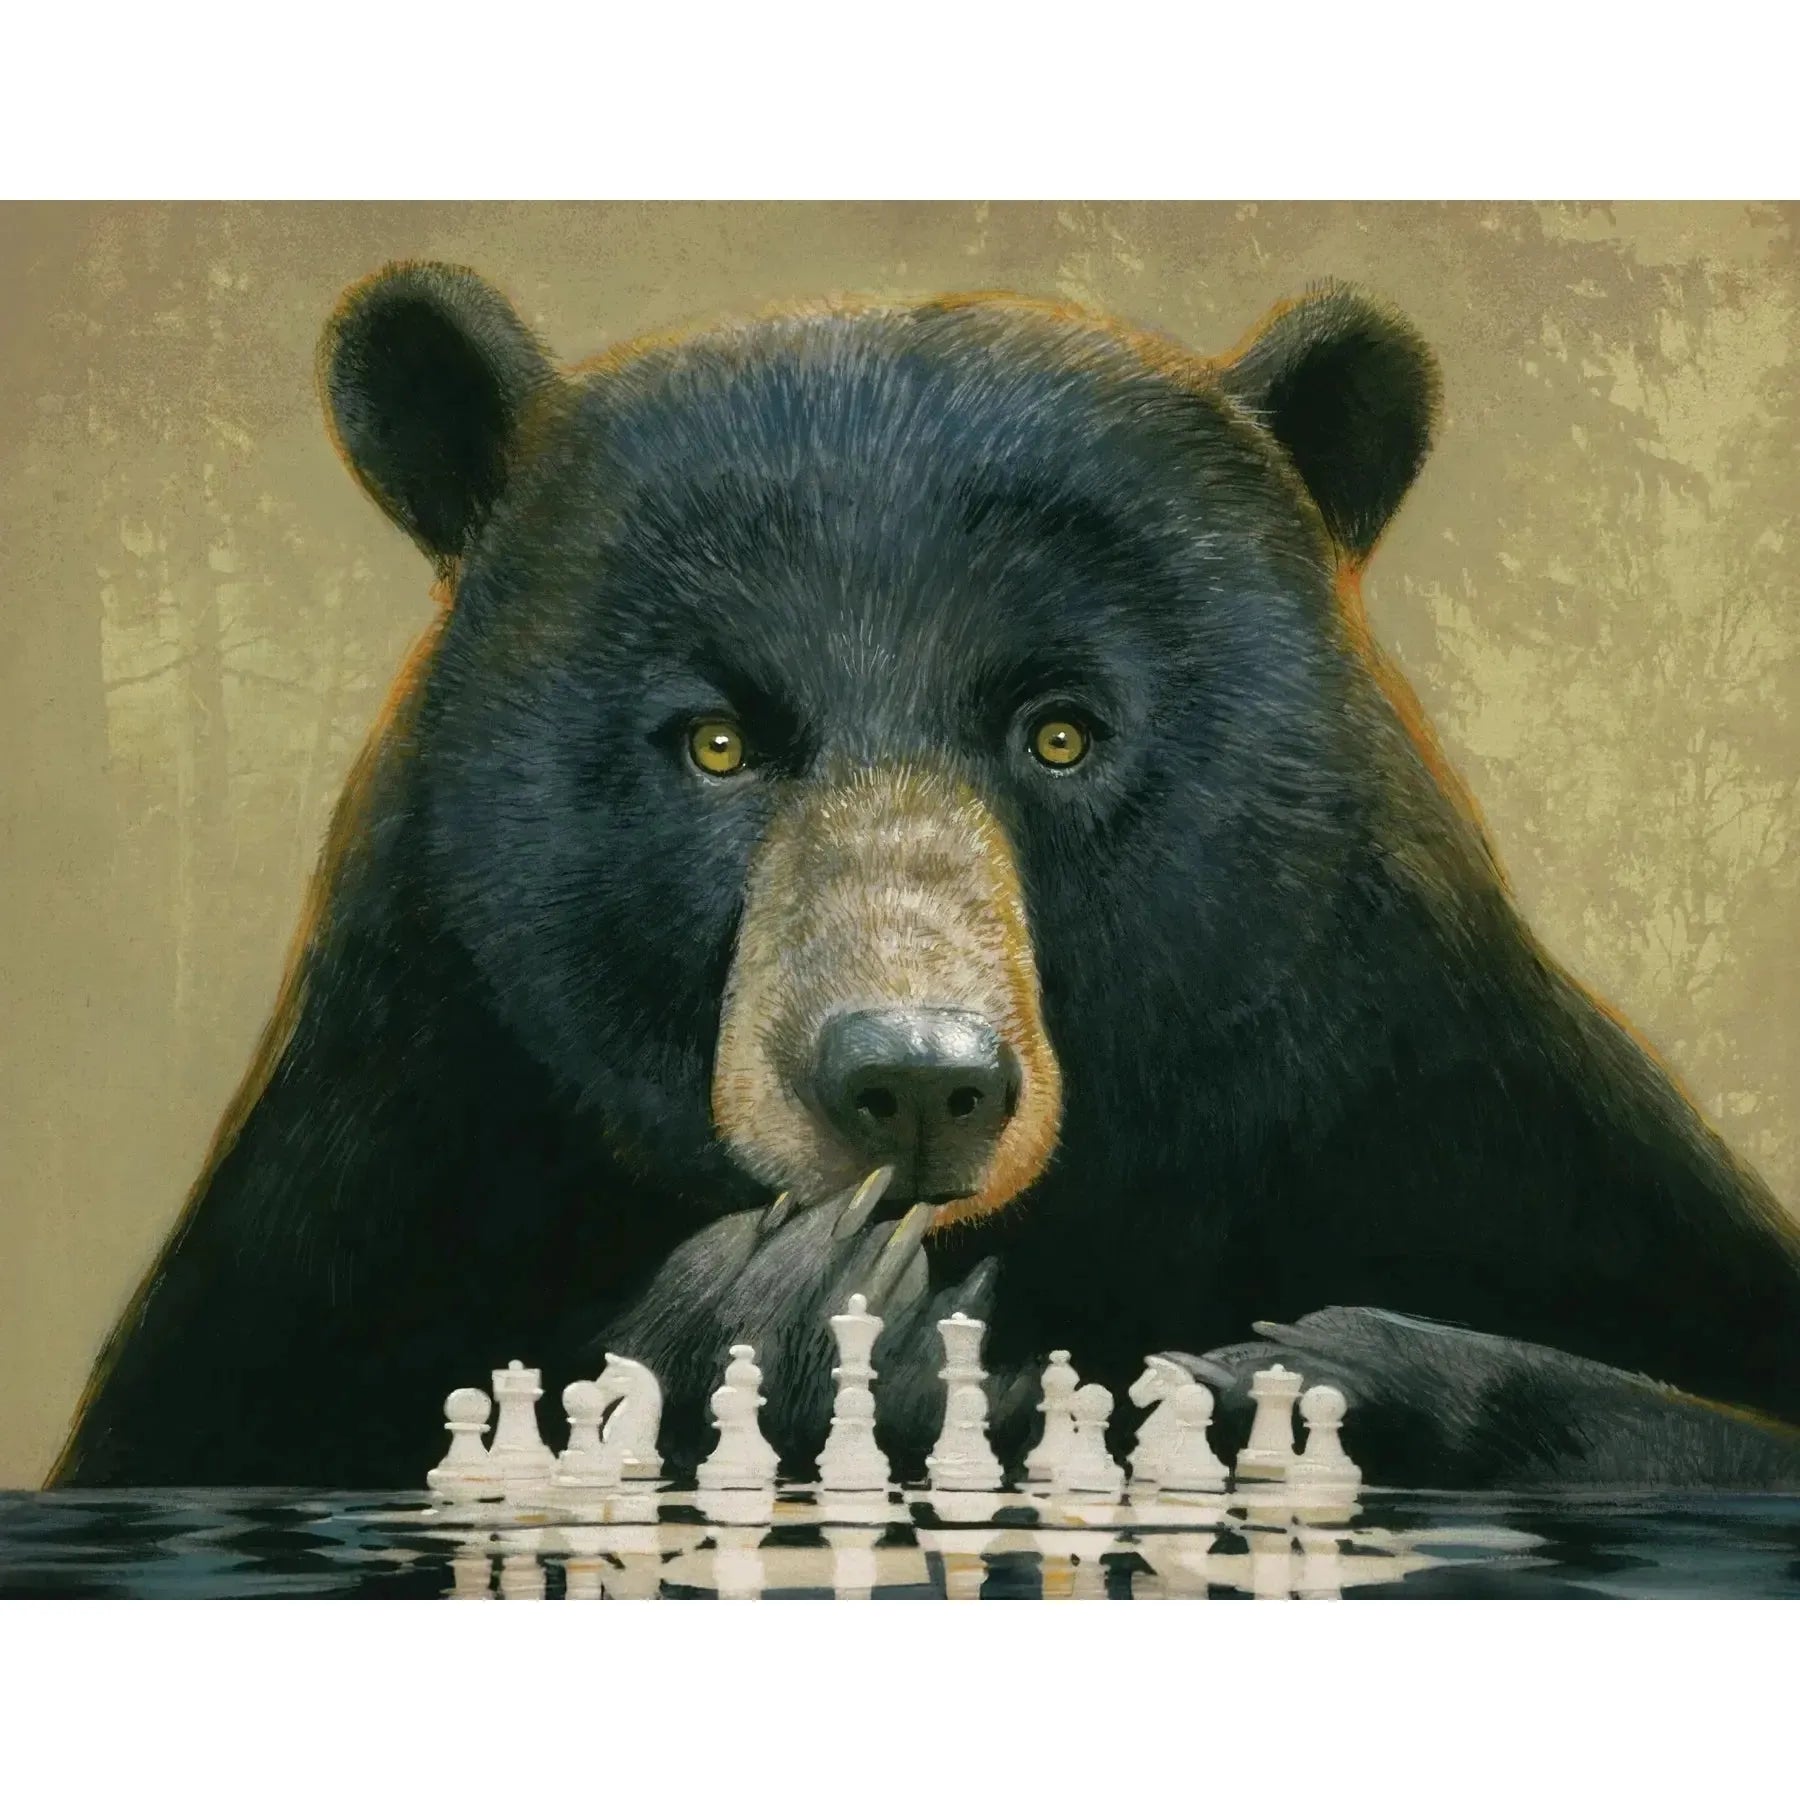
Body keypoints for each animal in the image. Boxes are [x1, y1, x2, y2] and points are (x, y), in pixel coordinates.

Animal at [51, 261, 1800, 1494]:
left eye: (1061, 731)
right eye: (716, 741)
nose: (910, 1082)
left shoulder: (1450, 1110)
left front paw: (1296, 1366)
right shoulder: (384, 1167)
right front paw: (813, 1309)